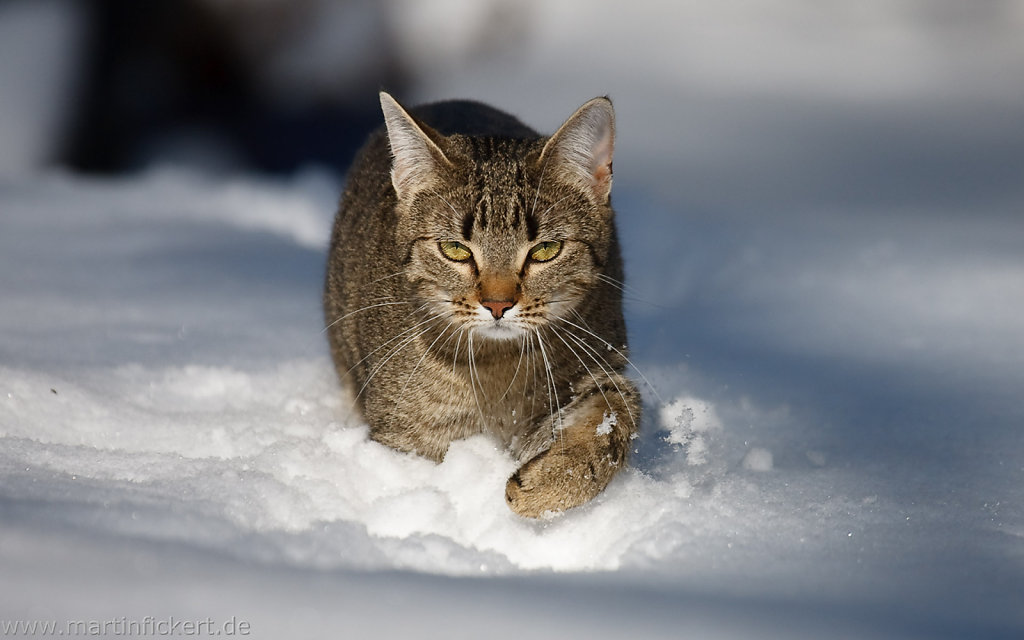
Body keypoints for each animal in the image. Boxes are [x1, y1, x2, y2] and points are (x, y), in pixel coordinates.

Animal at [323, 92, 638, 516]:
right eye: (454, 249)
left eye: (546, 250)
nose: (497, 304)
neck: (499, 368)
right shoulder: (405, 435)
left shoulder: (603, 366)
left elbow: (618, 416)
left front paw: (549, 485)